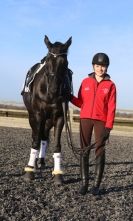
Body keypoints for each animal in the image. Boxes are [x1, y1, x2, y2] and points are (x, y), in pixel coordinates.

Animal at [22, 35, 71, 184]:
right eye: (48, 61)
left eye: (65, 63)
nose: (54, 90)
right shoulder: (38, 115)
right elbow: (35, 141)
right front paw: (29, 171)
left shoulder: (60, 117)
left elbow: (57, 144)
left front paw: (58, 174)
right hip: (33, 117)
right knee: (36, 136)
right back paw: (34, 163)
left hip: (48, 120)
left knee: (44, 137)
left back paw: (41, 161)